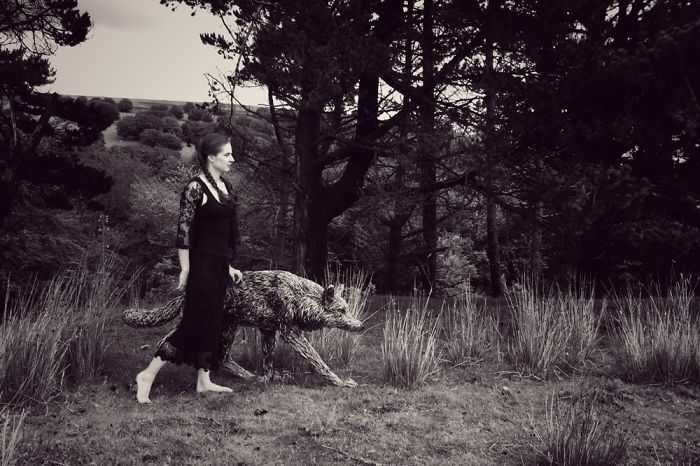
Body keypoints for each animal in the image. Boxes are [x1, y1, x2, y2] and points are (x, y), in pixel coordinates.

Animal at [123, 270, 363, 387]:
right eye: (342, 310)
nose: (360, 326)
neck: (300, 297)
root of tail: (183, 295)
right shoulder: (290, 333)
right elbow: (318, 362)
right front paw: (339, 382)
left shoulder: (268, 331)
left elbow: (268, 363)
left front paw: (268, 379)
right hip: (201, 328)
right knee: (164, 343)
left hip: (228, 328)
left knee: (221, 357)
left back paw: (248, 377)